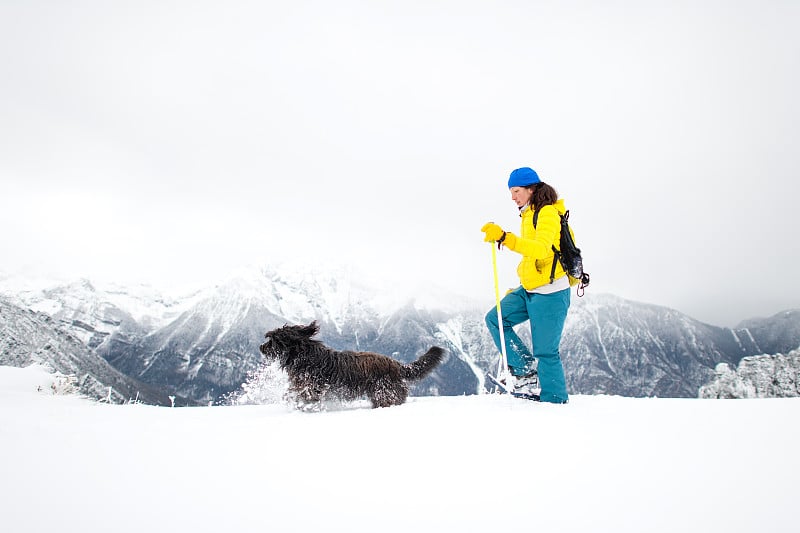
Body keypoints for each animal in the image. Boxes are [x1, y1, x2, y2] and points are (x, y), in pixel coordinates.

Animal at [260, 320, 444, 408]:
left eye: (274, 340)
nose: (261, 347)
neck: (303, 355)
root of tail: (396, 364)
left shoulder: (309, 387)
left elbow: (298, 396)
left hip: (384, 391)